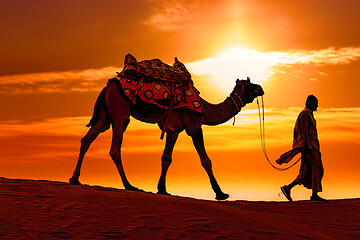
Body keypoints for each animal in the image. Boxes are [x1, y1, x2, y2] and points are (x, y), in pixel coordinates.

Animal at [69, 77, 262, 201]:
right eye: (250, 83)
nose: (261, 88)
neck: (206, 109)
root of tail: (108, 87)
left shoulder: (173, 130)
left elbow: (166, 158)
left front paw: (162, 189)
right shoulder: (194, 126)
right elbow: (205, 160)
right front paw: (221, 193)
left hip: (104, 116)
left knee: (87, 139)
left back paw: (75, 179)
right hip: (119, 114)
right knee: (114, 149)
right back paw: (129, 185)